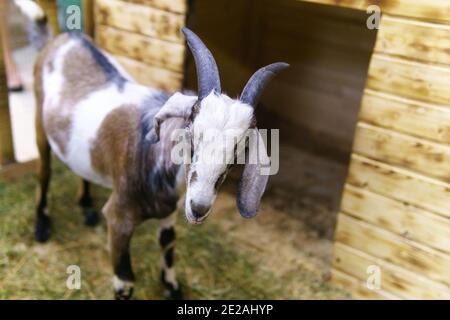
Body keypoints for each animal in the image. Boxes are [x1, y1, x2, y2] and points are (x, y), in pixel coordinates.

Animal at [34, 23, 288, 300]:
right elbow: (125, 281)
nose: (199, 207)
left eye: (240, 149)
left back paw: (87, 207)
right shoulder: (119, 217)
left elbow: (168, 244)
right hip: (39, 119)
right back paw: (41, 226)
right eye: (191, 133)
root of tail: (69, 36)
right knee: (44, 171)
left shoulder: (170, 213)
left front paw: (171, 287)